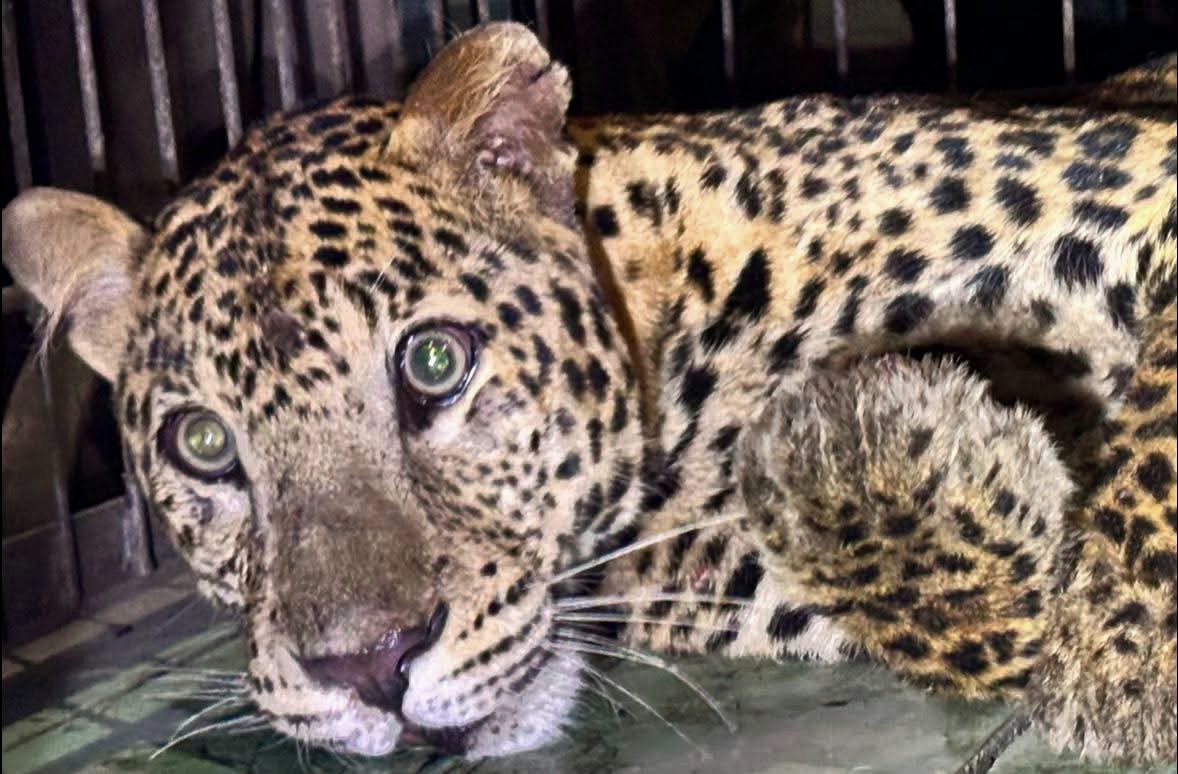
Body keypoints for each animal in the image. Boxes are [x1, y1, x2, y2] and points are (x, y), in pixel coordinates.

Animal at [3, 21, 1174, 766]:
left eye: (434, 363)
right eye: (203, 444)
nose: (369, 671)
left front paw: (1128, 665)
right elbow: (989, 625)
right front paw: (897, 439)